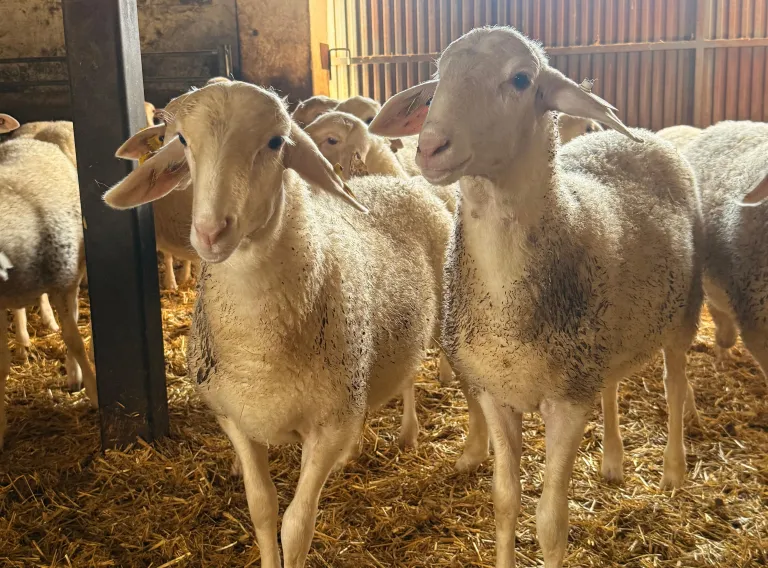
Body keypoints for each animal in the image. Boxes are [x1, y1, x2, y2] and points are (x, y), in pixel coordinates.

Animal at [0, 136, 98, 450]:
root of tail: (26, 139)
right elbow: (1, 363)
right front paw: (0, 427)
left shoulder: (62, 283)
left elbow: (75, 341)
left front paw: (94, 394)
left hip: (72, 272)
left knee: (73, 323)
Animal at [103, 81, 455, 567]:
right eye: (183, 141)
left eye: (275, 142)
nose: (211, 232)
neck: (259, 351)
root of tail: (395, 181)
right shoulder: (235, 419)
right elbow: (262, 509)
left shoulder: (326, 427)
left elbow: (297, 525)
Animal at [370, 27, 703, 568]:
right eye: (437, 81)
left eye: (522, 79)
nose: (431, 147)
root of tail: (634, 135)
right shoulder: (497, 392)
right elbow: (505, 502)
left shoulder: (565, 403)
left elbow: (550, 521)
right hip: (603, 337)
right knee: (612, 384)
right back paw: (613, 460)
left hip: (683, 312)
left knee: (674, 384)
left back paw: (673, 469)